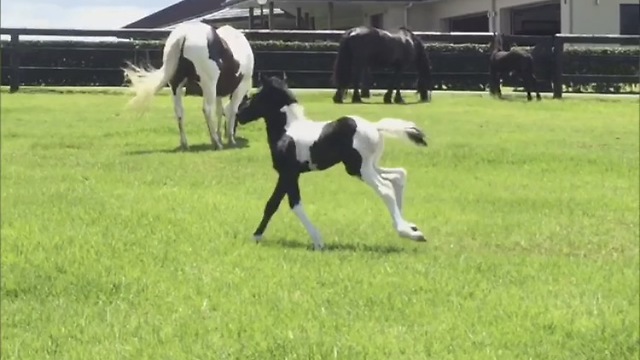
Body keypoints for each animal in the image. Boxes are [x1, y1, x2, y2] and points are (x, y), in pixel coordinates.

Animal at [124, 21, 254, 150]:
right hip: (209, 85)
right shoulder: (240, 87)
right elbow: (232, 110)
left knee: (179, 111)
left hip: (176, 86)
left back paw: (185, 143)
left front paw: (221, 135)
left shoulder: (219, 92)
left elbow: (220, 111)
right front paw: (230, 139)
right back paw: (216, 142)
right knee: (207, 109)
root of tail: (184, 35)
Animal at [236, 75, 430, 252]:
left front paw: (318, 241)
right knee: (398, 176)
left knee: (386, 188)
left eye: (256, 95)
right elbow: (276, 204)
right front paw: (257, 236)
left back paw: (408, 232)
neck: (287, 131)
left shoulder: (288, 173)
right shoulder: (289, 174)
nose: (239, 115)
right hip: (366, 166)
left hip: (360, 168)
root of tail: (375, 127)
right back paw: (410, 227)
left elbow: (288, 204)